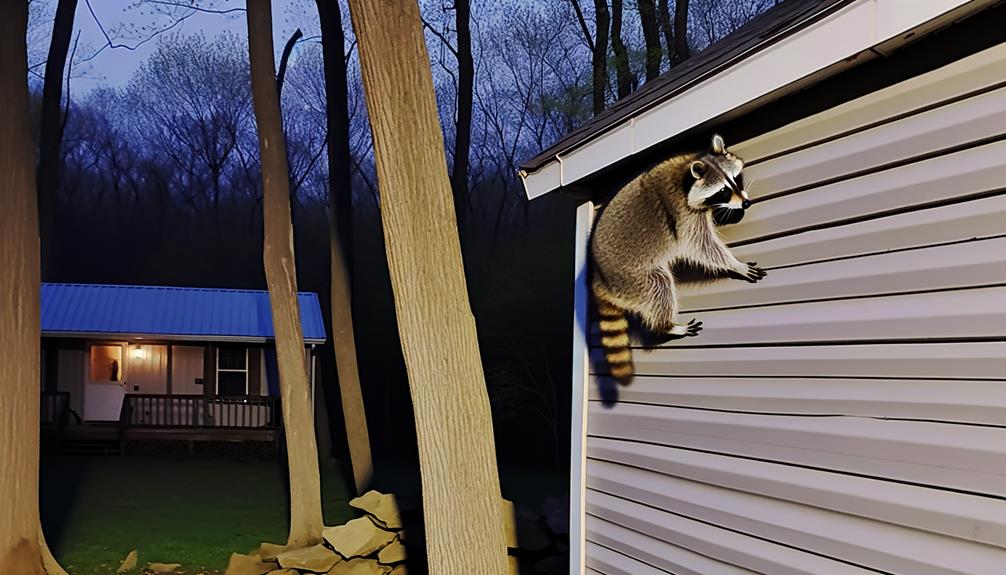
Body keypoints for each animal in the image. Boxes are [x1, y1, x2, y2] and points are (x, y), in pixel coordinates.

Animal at [587, 134, 764, 384]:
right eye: (722, 191)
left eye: (736, 179)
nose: (746, 203)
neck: (686, 171)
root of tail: (599, 279)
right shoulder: (682, 215)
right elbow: (701, 246)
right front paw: (734, 263)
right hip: (631, 277)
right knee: (659, 286)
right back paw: (667, 326)